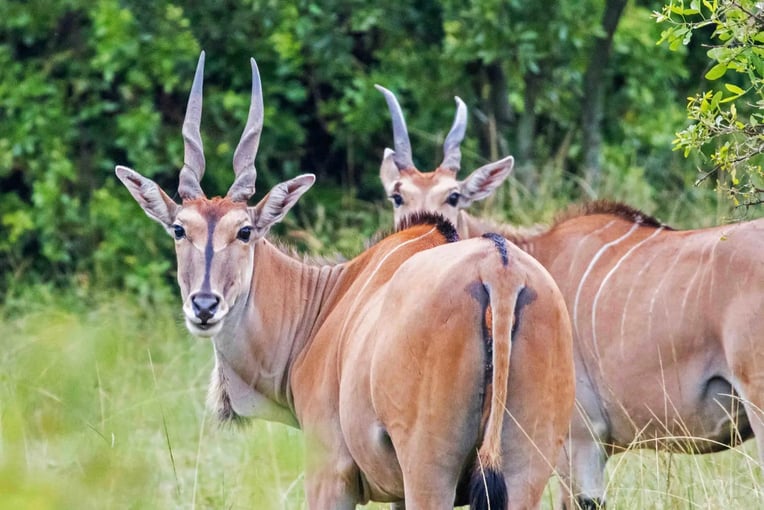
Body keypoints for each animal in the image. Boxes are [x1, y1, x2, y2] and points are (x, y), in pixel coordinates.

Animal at [116, 53, 576, 508]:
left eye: (244, 231)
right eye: (179, 229)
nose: (204, 305)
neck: (323, 300)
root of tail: (500, 270)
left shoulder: (330, 471)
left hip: (430, 473)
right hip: (525, 471)